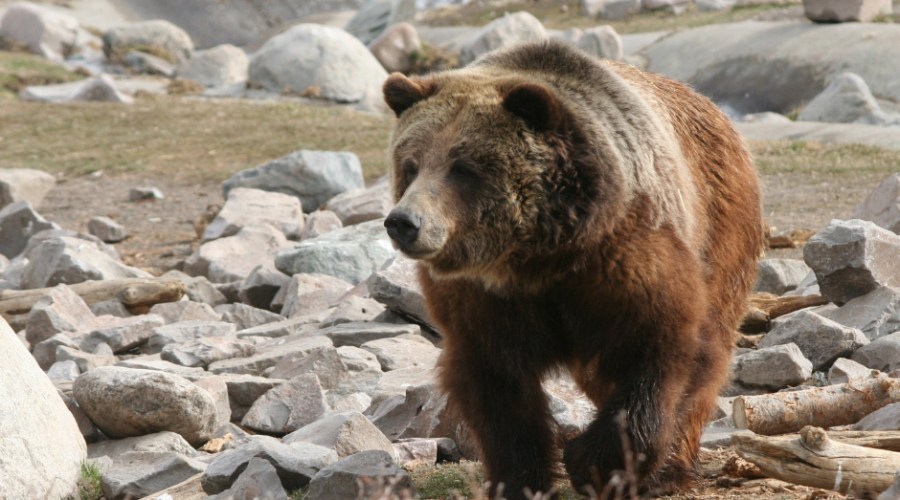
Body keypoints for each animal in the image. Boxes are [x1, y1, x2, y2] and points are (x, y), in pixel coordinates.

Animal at [382, 40, 763, 499]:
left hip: (720, 227)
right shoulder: (484, 300)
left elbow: (658, 350)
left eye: (463, 168)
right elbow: (498, 387)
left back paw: (672, 468)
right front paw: (521, 478)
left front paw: (595, 463)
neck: (539, 258)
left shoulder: (624, 259)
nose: (404, 222)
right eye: (411, 164)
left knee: (709, 349)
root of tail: (713, 108)